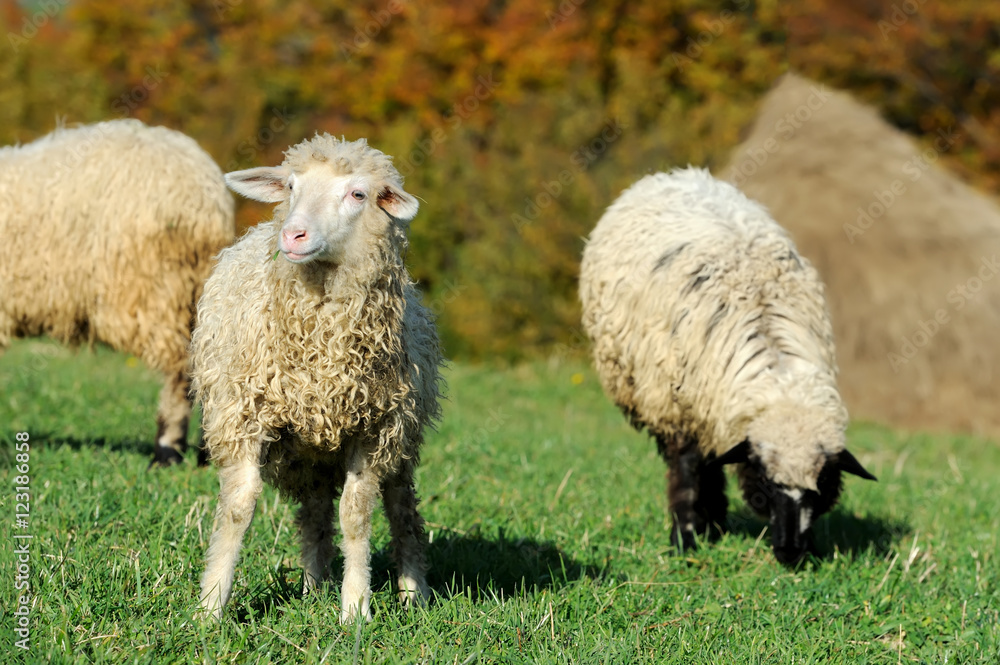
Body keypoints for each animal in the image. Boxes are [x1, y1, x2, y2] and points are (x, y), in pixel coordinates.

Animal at [192, 135, 442, 623]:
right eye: (290, 186)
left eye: (358, 194)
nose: (293, 235)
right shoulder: (244, 414)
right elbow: (238, 508)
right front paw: (210, 608)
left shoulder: (373, 428)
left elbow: (357, 515)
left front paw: (356, 608)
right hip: (308, 451)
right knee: (314, 512)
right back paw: (312, 585)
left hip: (400, 435)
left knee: (401, 508)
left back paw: (412, 592)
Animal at [579, 167, 876, 564]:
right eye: (765, 482)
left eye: (821, 485)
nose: (790, 553)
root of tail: (676, 174)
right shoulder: (679, 407)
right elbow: (688, 469)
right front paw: (686, 536)